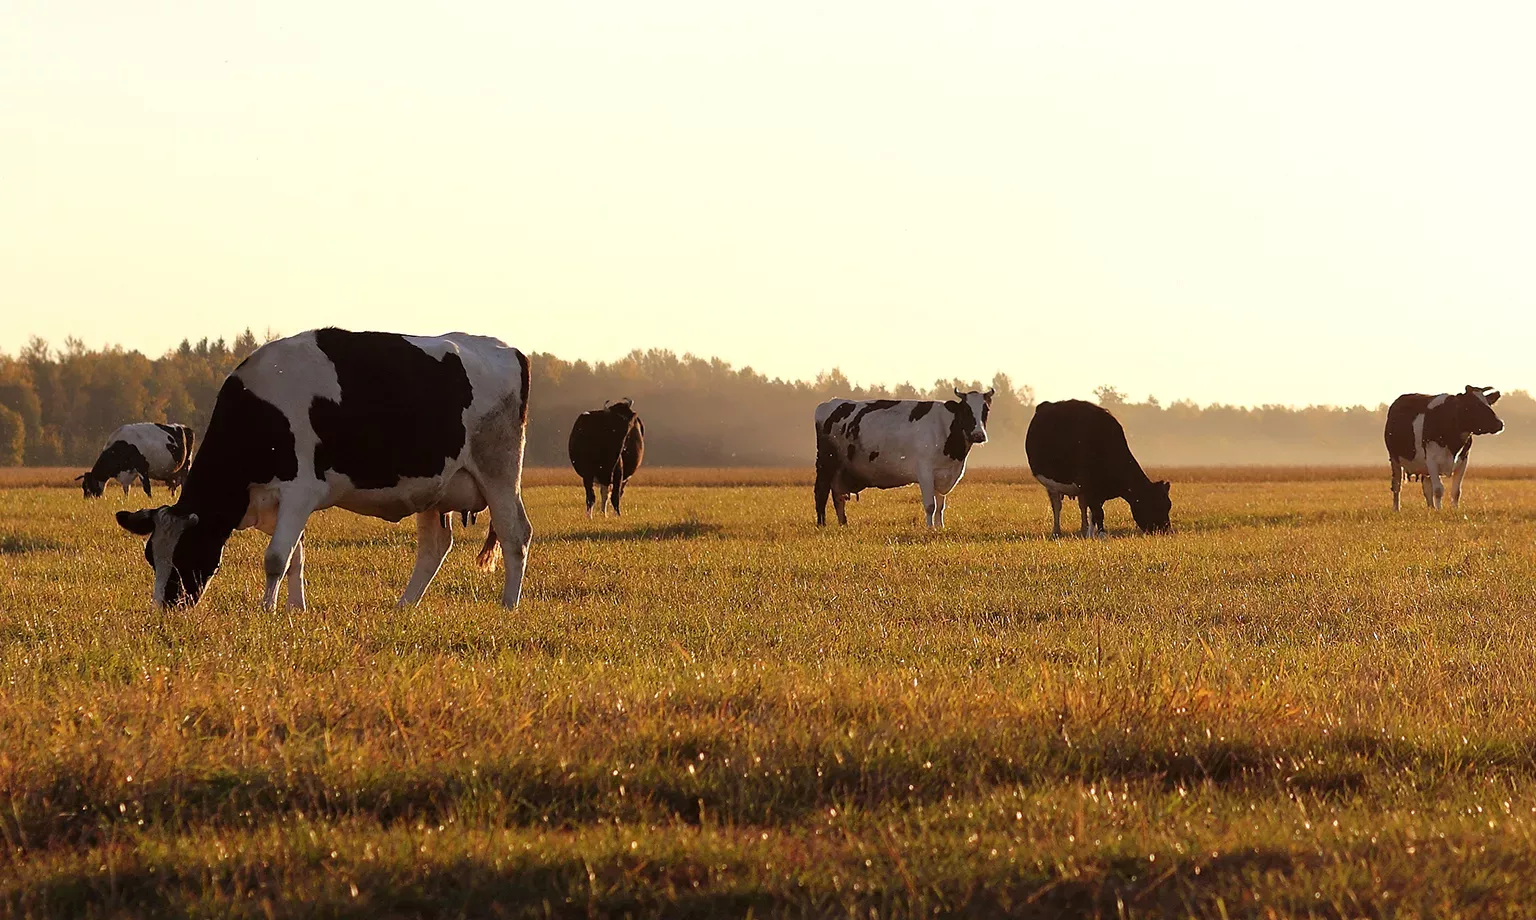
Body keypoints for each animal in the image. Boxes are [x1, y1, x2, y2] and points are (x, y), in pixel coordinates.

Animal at [114, 328, 533, 611]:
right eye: (152, 557)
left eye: (186, 552)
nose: (167, 608)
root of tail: (507, 349)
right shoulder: (282, 502)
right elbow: (294, 557)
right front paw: (294, 610)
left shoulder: (300, 491)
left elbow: (276, 557)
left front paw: (267, 611)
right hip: (435, 488)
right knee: (436, 546)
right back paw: (404, 606)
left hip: (498, 471)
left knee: (515, 534)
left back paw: (508, 606)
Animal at [814, 388, 993, 527]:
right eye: (966, 410)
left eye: (986, 411)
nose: (978, 435)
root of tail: (829, 404)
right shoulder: (925, 472)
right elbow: (930, 505)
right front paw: (930, 528)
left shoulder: (943, 474)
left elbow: (940, 506)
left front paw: (940, 527)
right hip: (826, 463)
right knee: (821, 493)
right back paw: (822, 525)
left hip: (840, 470)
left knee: (838, 497)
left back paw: (843, 524)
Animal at [1025, 399, 1170, 537]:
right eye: (1154, 505)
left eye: (1168, 505)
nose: (1165, 531)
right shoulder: (1089, 487)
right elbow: (1098, 513)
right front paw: (1101, 535)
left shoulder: (1094, 491)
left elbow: (1093, 513)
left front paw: (1091, 534)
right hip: (1051, 484)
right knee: (1057, 506)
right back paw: (1056, 532)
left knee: (1082, 506)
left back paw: (1083, 530)